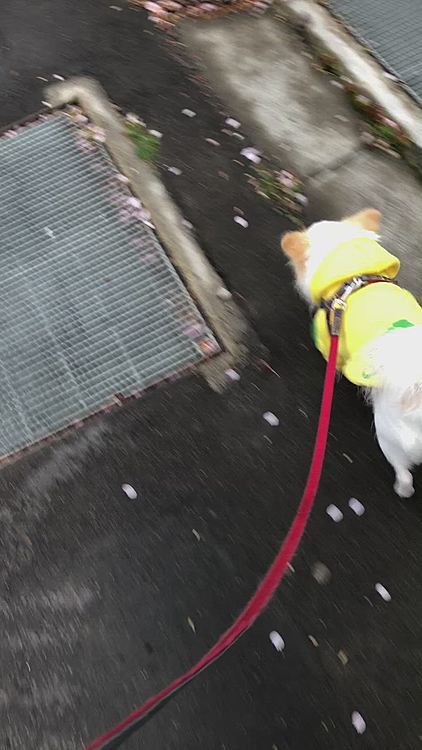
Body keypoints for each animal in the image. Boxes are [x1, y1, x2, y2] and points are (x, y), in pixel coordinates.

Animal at [280, 209, 422, 500]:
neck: (355, 274)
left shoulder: (328, 339)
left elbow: (332, 364)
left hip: (387, 433)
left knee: (403, 472)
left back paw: (402, 489)